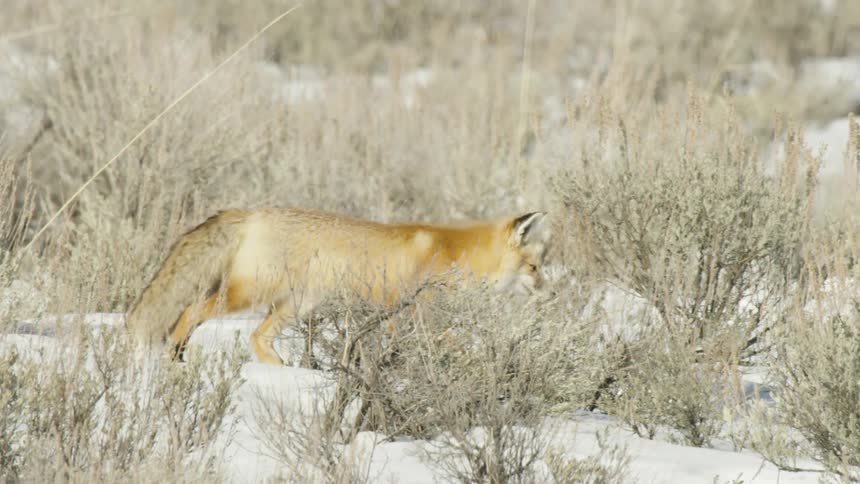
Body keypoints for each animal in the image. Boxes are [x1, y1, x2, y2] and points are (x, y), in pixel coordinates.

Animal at [126, 207, 552, 366]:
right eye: (535, 267)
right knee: (189, 311)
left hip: (295, 306)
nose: (552, 293)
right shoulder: (410, 314)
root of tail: (248, 211)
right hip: (247, 294)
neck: (458, 255)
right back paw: (173, 357)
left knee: (257, 339)